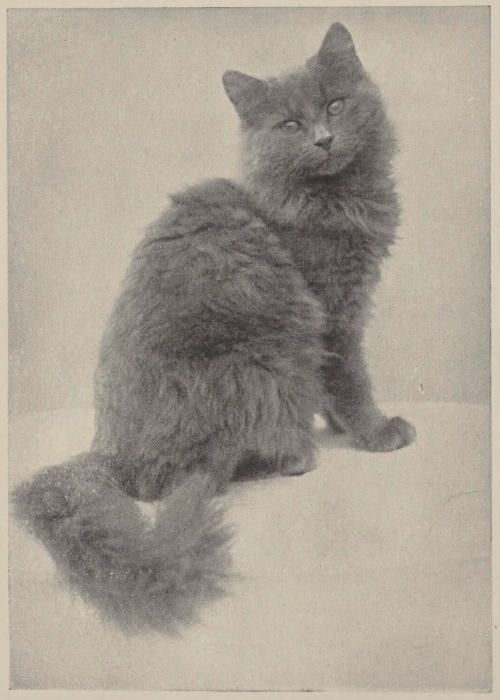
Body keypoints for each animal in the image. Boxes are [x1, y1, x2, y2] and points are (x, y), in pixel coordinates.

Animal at [13, 23, 415, 633]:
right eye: (289, 125)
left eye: (335, 105)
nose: (323, 139)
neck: (332, 199)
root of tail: (106, 451)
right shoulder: (331, 315)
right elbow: (351, 382)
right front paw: (375, 432)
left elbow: (331, 389)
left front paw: (340, 426)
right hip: (256, 365)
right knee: (197, 476)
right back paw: (293, 457)